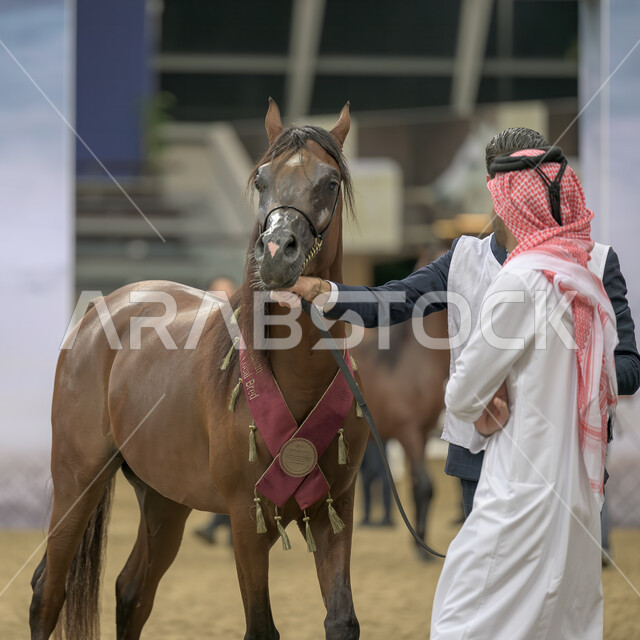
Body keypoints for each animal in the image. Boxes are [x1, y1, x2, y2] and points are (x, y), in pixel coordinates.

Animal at [29, 100, 369, 640]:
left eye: (330, 182)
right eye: (262, 180)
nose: (277, 252)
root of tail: (100, 310)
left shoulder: (334, 506)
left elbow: (341, 621)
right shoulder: (246, 518)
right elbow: (261, 628)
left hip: (164, 497)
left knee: (131, 592)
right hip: (76, 478)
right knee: (48, 591)